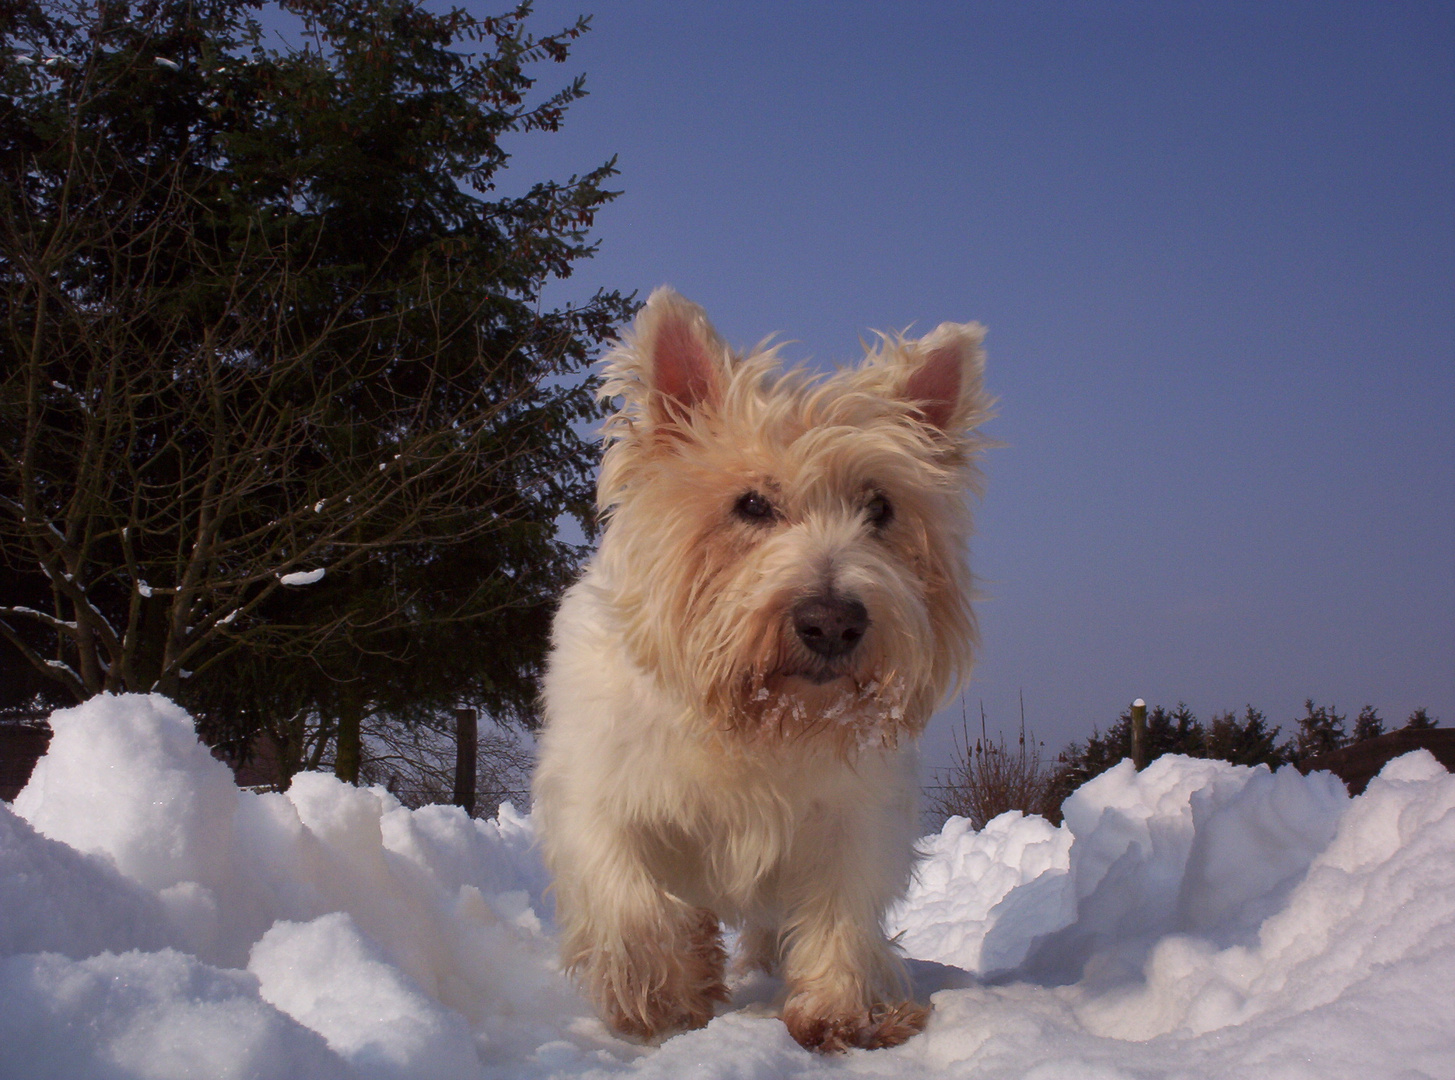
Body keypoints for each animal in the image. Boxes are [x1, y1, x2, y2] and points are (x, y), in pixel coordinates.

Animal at [538, 292, 1001, 1053]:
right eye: (751, 504)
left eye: (880, 507)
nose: (832, 622)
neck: (760, 721)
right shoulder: (599, 795)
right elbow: (631, 899)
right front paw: (662, 999)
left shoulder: (852, 820)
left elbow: (840, 913)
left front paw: (842, 1013)